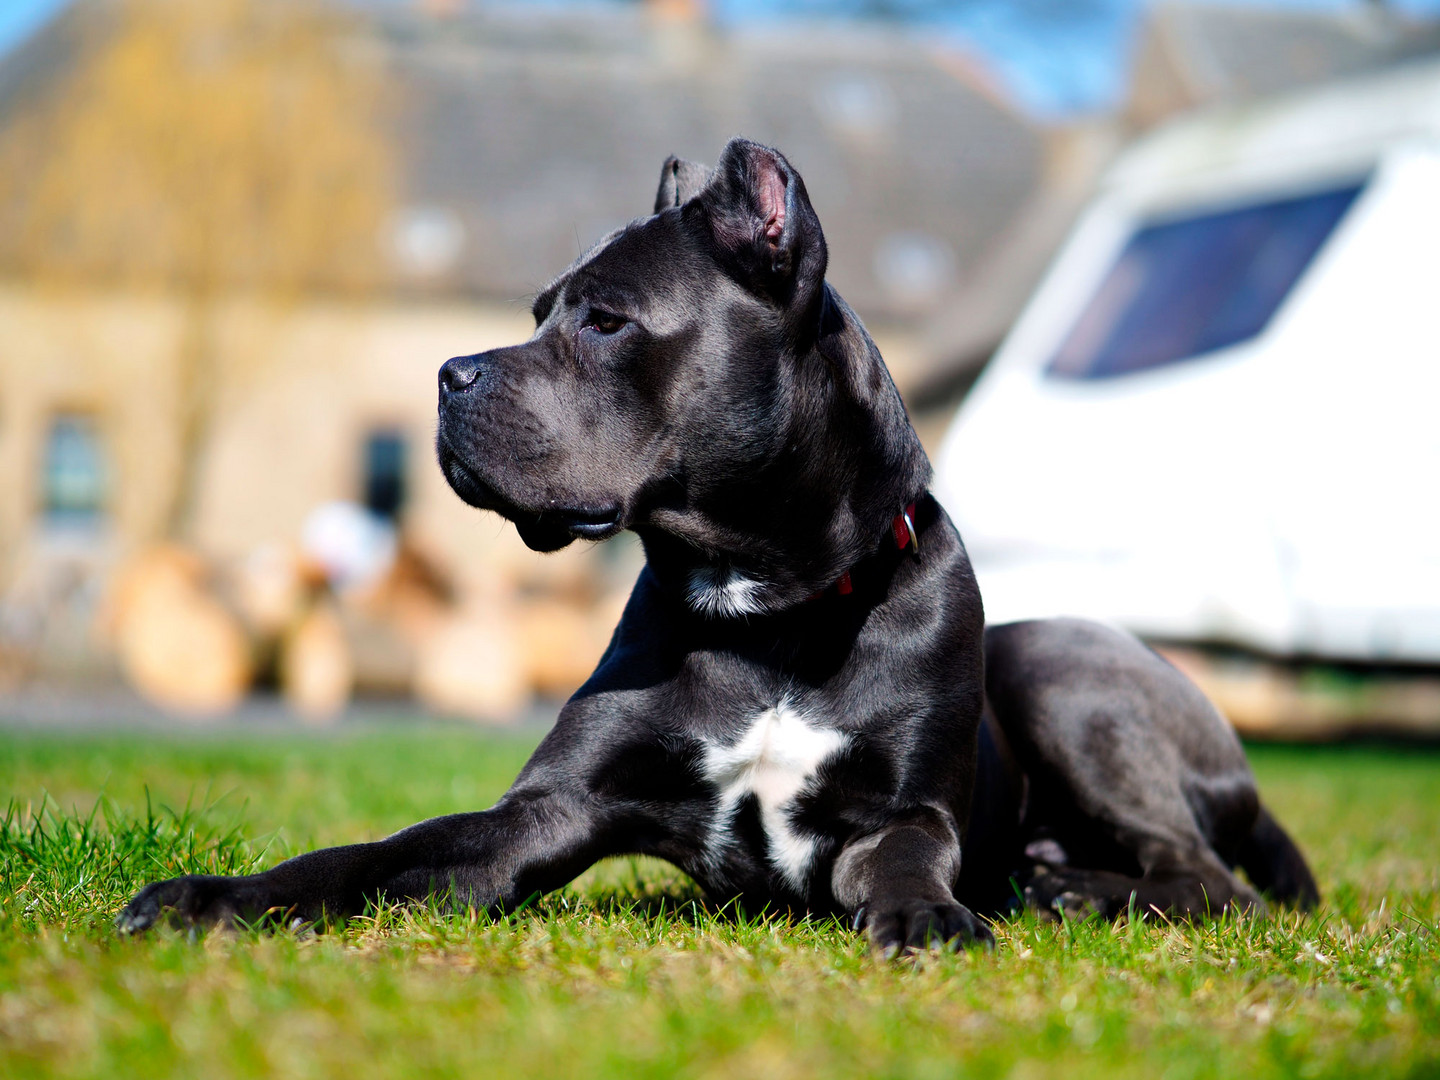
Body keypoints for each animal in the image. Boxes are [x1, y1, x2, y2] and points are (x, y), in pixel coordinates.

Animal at [115, 137, 1319, 956]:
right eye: (539, 311)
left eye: (605, 321)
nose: (450, 374)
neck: (767, 607)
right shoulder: (542, 812)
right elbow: (377, 852)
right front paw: (217, 897)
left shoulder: (903, 813)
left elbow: (908, 860)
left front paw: (928, 914)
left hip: (1069, 674)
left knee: (1210, 879)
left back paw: (1077, 891)